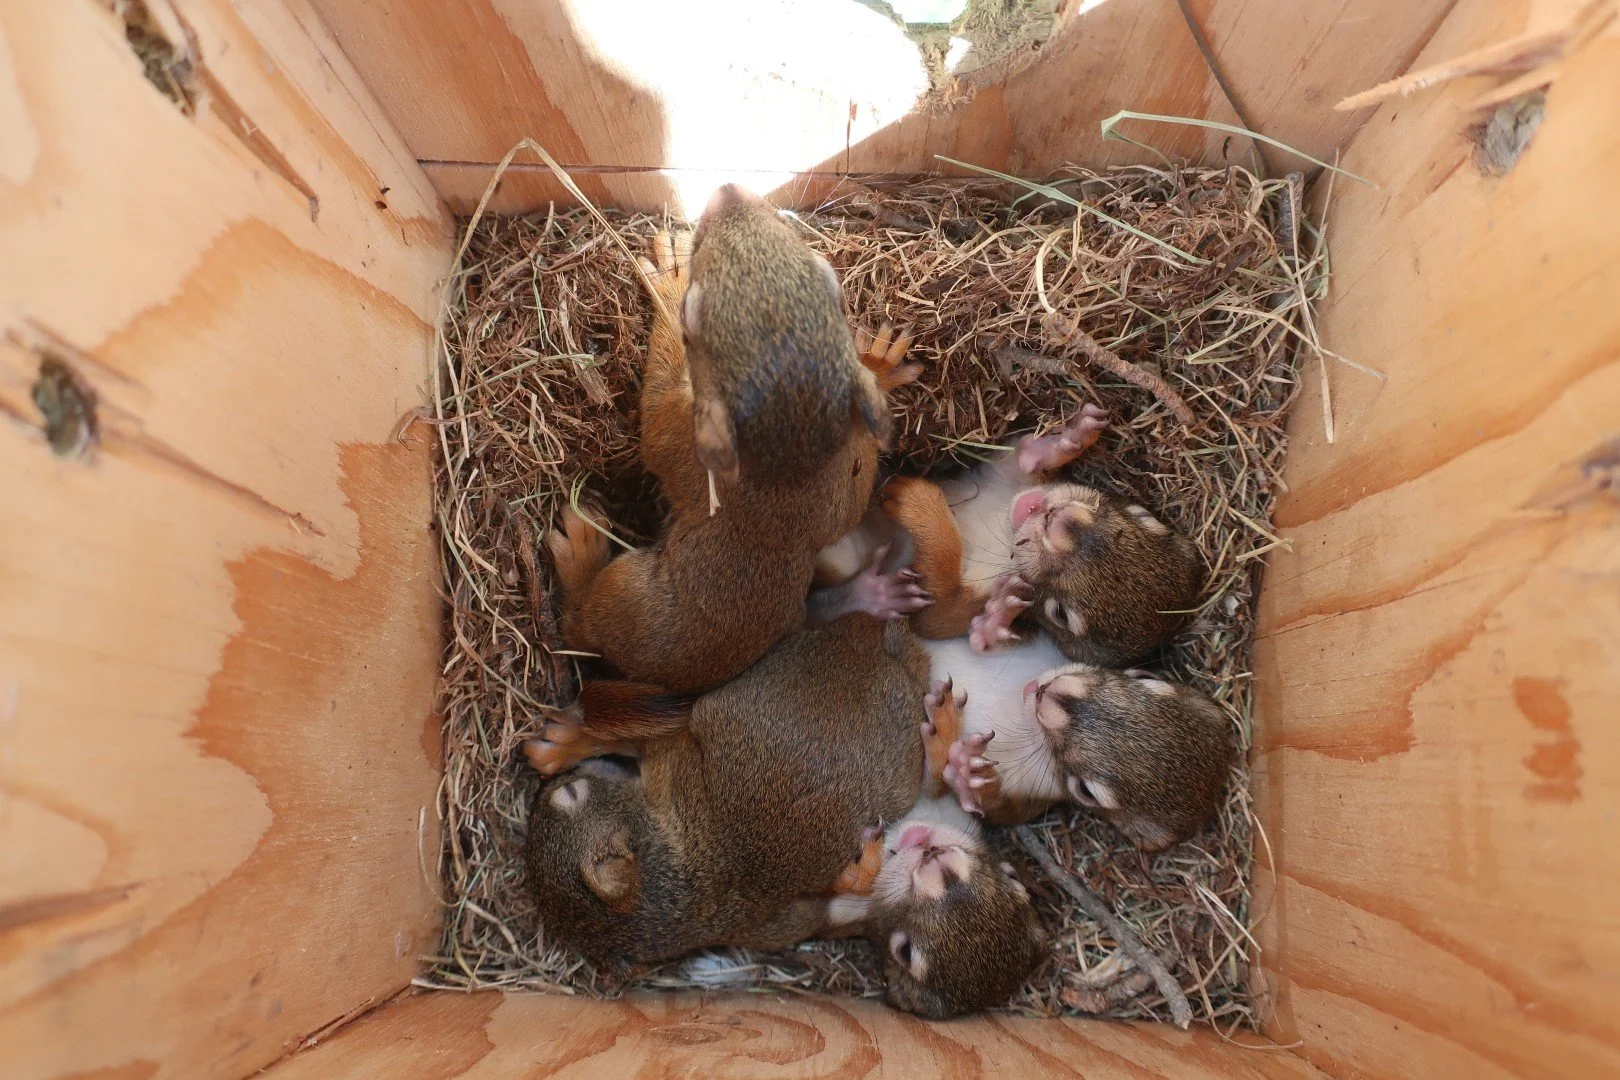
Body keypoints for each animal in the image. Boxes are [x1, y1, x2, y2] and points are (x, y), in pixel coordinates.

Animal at [522, 615, 932, 968]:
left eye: (572, 794)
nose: (546, 790)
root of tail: (869, 634)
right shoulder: (771, 926)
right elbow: (817, 915)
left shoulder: (669, 763)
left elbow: (630, 738)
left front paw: (566, 745)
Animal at [547, 232, 926, 694]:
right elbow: (847, 507)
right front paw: (879, 368)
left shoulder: (687, 438)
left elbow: (654, 428)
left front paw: (673, 281)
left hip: (623, 601)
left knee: (579, 629)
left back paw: (581, 549)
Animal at [815, 403, 1203, 667]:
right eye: (1142, 516)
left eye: (1060, 613)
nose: (1062, 525)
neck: (1001, 527)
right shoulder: (998, 479)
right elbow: (1021, 460)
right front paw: (1067, 440)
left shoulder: (961, 606)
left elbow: (940, 601)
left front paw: (917, 501)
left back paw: (875, 592)